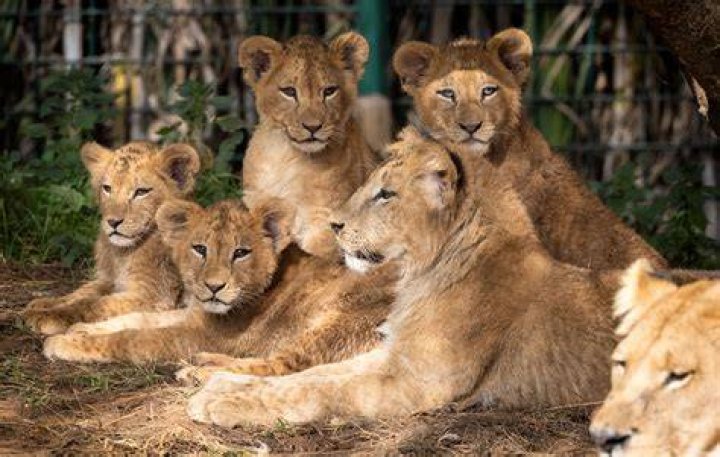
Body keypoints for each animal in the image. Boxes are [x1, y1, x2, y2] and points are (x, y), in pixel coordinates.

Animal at [23, 141, 201, 335]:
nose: (113, 222)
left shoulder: (154, 296)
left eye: (141, 192)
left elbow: (93, 304)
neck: (121, 254)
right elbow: (82, 292)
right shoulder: (108, 279)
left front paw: (49, 315)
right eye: (107, 189)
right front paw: (46, 303)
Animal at [43, 198, 391, 380]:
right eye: (200, 249)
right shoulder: (194, 316)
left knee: (279, 366)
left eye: (241, 253)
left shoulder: (204, 335)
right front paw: (80, 329)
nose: (214, 287)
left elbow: (132, 338)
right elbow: (138, 319)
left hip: (335, 321)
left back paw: (199, 371)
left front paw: (63, 343)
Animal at [185, 137, 617, 428]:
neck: (421, 275)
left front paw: (223, 402)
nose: (335, 225)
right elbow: (314, 375)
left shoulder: (417, 383)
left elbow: (320, 390)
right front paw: (224, 385)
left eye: (386, 195)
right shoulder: (395, 354)